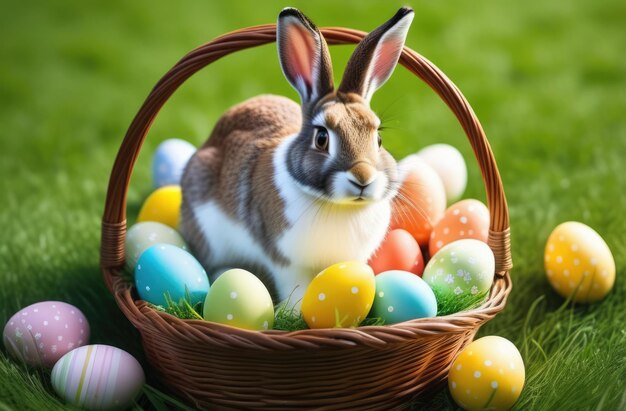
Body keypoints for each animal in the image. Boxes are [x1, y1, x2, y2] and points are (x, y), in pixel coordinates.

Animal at [179, 5, 414, 302]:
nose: (363, 177)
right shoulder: (287, 265)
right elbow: (298, 289)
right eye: (322, 138)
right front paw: (297, 310)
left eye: (379, 138)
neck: (340, 206)